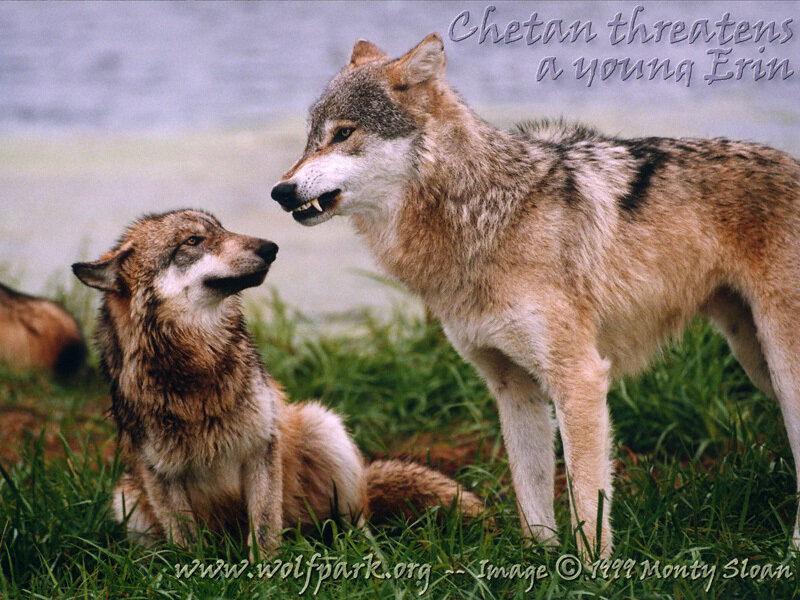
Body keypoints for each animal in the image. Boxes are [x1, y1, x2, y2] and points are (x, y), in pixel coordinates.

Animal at [72, 209, 483, 555]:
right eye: (193, 240)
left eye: (223, 229)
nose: (270, 248)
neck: (197, 367)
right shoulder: (161, 475)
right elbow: (187, 545)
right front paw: (195, 575)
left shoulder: (260, 449)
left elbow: (266, 531)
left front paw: (266, 576)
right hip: (125, 498)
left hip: (324, 429)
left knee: (354, 521)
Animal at [270, 33, 800, 556]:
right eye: (310, 137)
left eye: (343, 133)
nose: (280, 191)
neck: (487, 217)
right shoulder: (512, 386)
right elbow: (532, 497)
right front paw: (540, 562)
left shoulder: (580, 378)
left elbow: (587, 503)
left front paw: (592, 571)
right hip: (754, 359)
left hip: (782, 365)